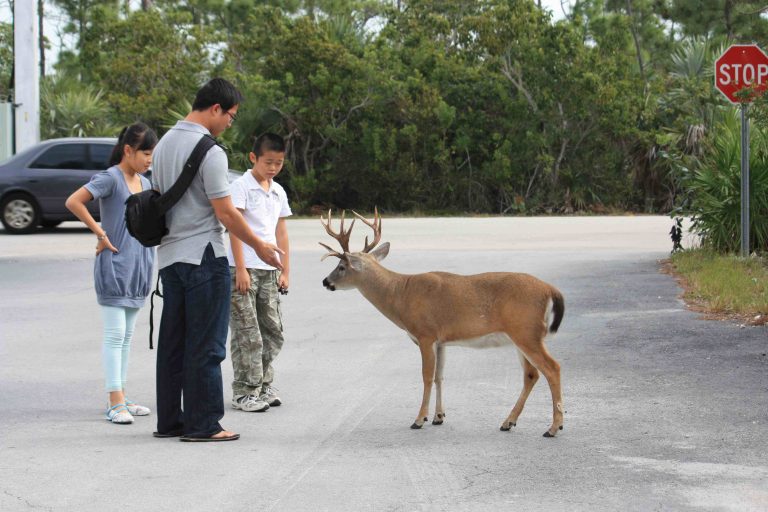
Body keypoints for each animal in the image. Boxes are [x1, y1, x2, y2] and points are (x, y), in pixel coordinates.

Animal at [320, 210, 568, 438]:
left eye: (341, 266)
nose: (325, 281)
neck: (400, 294)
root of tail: (551, 290)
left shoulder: (425, 334)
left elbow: (426, 376)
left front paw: (419, 419)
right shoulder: (441, 341)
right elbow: (440, 376)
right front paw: (438, 417)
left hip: (526, 332)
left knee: (553, 368)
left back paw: (553, 427)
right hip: (521, 336)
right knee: (531, 375)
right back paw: (509, 422)